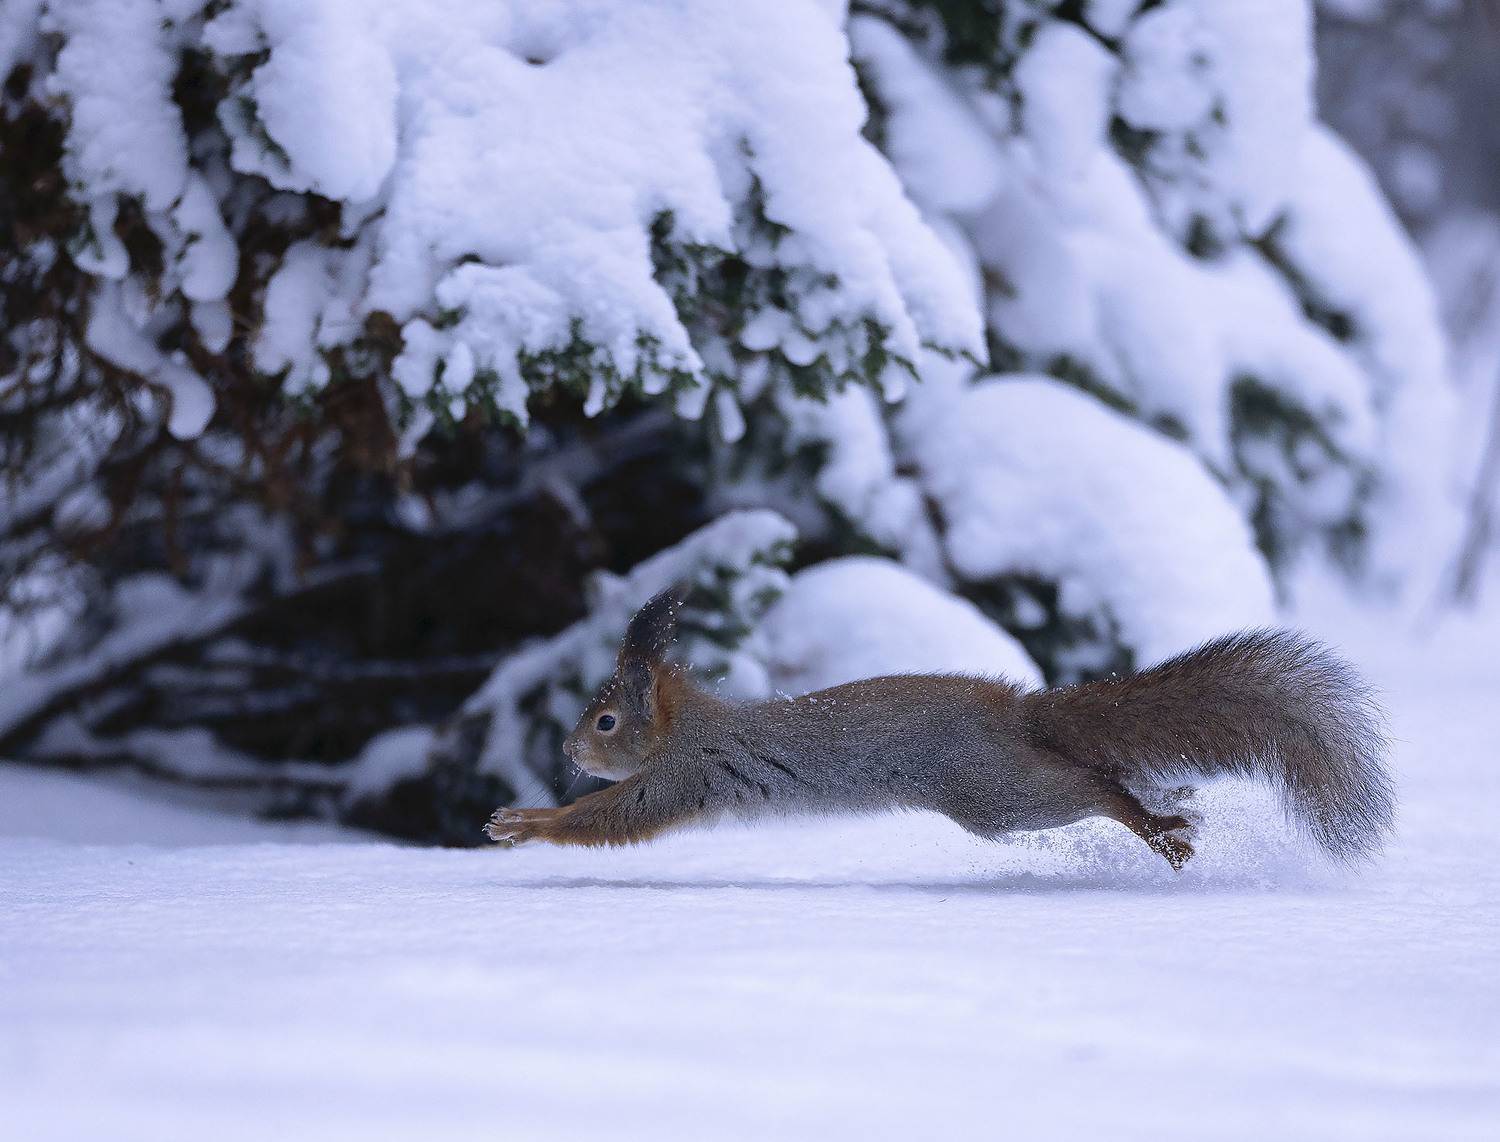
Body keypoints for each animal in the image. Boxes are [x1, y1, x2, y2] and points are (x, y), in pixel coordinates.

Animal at [484, 586, 1394, 869]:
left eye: (606, 720)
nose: (565, 748)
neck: (685, 727)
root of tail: (1019, 713)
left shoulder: (683, 774)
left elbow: (610, 817)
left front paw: (523, 822)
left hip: (997, 795)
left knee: (1096, 788)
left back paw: (1159, 831)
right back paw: (1174, 811)